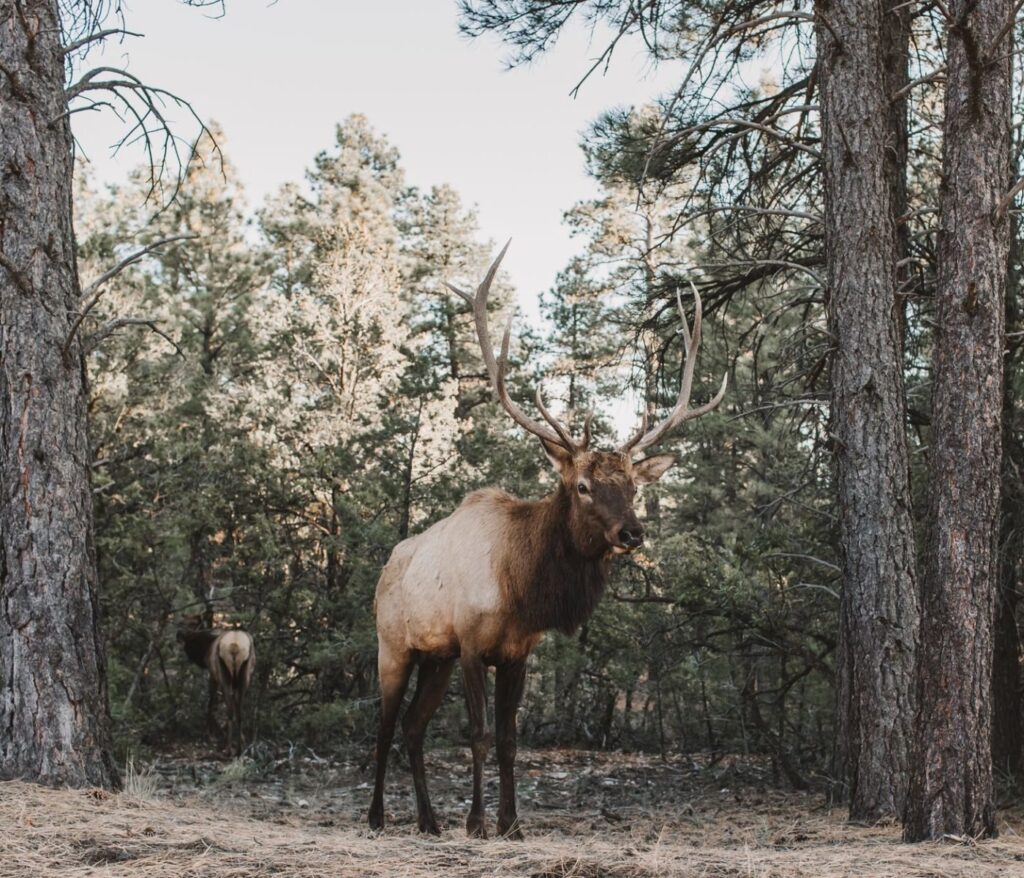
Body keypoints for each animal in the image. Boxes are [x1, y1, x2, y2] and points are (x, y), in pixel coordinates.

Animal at [176, 615, 256, 757]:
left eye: (193, 623)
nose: (178, 633)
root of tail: (235, 646)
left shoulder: (213, 674)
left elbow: (211, 702)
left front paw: (208, 734)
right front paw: (243, 740)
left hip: (224, 674)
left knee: (229, 708)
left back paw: (228, 748)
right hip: (244, 675)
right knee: (239, 710)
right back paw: (239, 748)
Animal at [367, 243, 727, 839]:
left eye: (633, 486)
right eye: (582, 486)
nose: (632, 531)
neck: (521, 589)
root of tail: (386, 565)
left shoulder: (517, 654)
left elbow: (511, 742)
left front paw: (511, 823)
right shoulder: (471, 645)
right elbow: (479, 736)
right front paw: (477, 822)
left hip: (434, 656)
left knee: (414, 729)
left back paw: (428, 820)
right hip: (393, 645)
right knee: (383, 725)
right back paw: (376, 816)